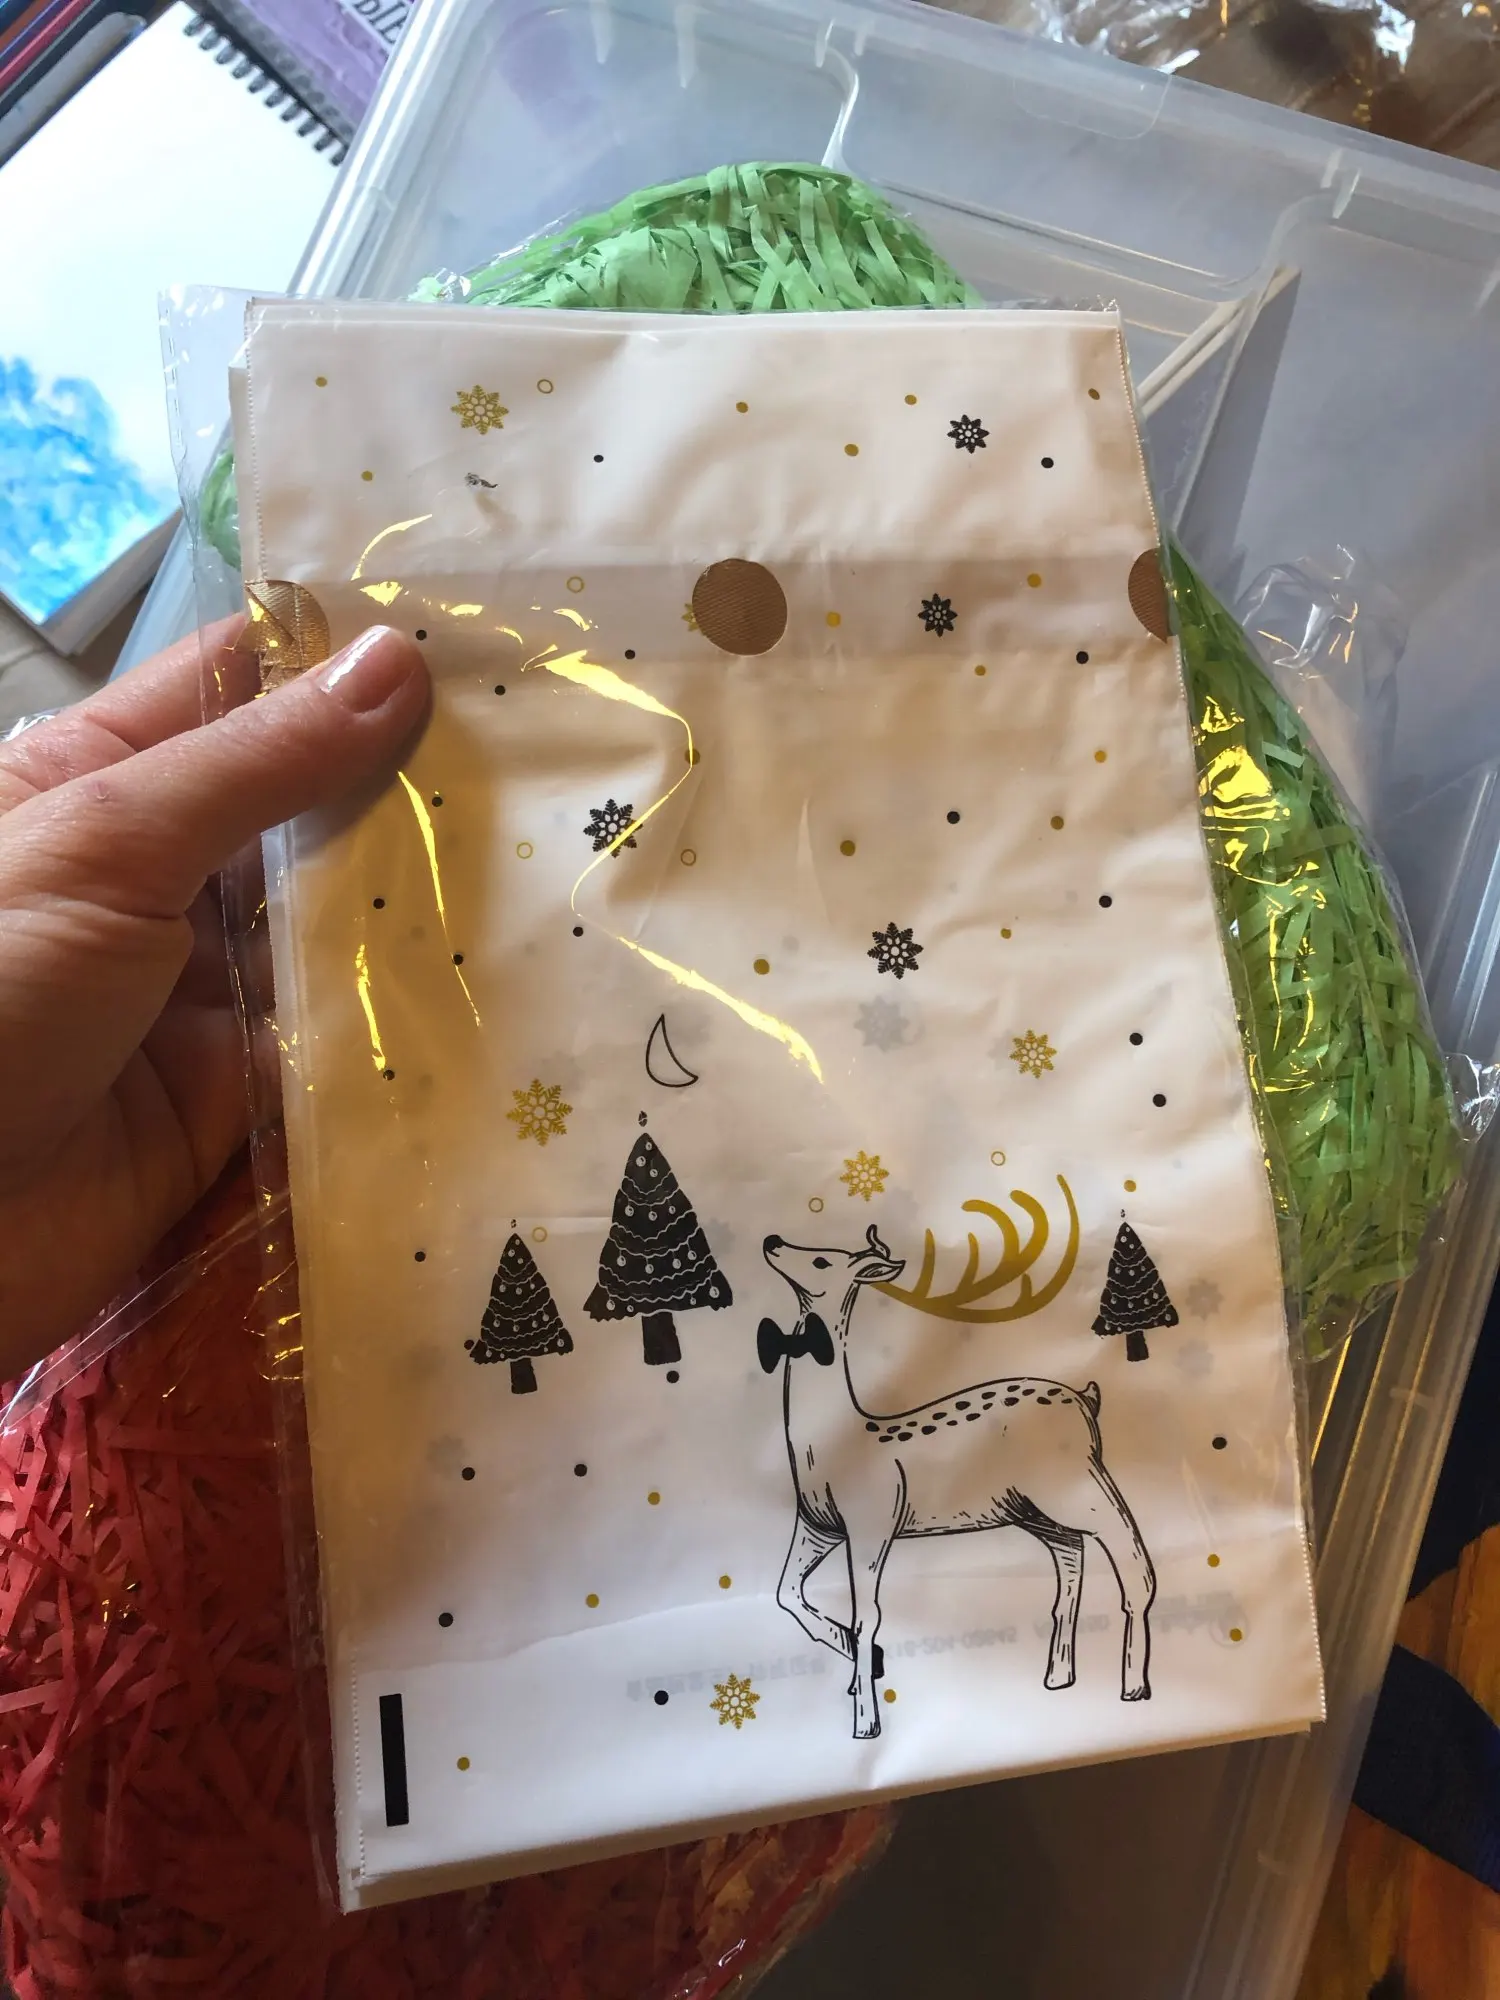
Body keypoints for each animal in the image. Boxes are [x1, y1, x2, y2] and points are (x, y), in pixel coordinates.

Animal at [760, 1222, 1155, 1740]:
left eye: (823, 1259)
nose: (771, 1241)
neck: (825, 1452)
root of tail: (1088, 1399)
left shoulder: (872, 1524)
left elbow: (868, 1617)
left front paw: (866, 1720)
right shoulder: (817, 1525)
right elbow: (787, 1592)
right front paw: (859, 1667)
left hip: (1077, 1480)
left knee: (1133, 1555)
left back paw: (1134, 1685)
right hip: (1029, 1505)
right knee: (1072, 1556)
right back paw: (1059, 1676)